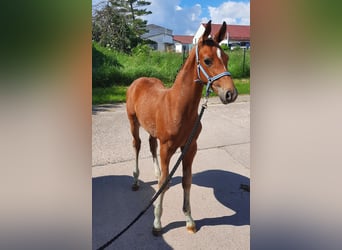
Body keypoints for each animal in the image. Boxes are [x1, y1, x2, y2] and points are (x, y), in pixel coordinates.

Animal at [126, 20, 238, 234]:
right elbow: (164, 182)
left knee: (151, 145)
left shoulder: (190, 147)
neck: (178, 107)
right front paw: (157, 222)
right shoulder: (167, 148)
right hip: (133, 122)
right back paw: (135, 180)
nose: (231, 94)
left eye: (227, 58)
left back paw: (156, 172)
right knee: (137, 145)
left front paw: (189, 219)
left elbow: (186, 180)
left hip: (152, 131)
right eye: (207, 60)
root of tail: (139, 80)